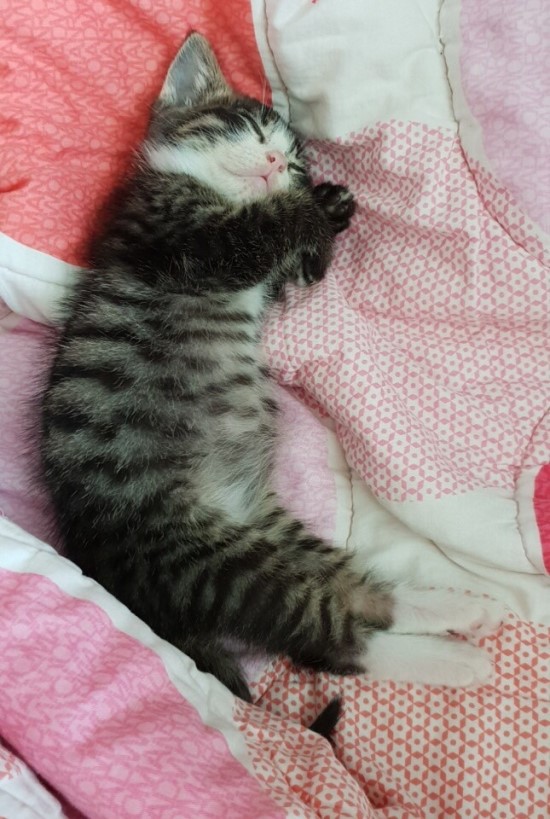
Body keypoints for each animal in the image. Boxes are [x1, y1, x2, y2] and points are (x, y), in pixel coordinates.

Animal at [40, 33, 501, 712]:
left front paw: (329, 208)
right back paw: (456, 657)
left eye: (295, 161)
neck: (214, 193)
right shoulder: (182, 239)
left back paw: (454, 610)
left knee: (348, 596)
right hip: (210, 563)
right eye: (251, 127)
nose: (277, 162)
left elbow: (302, 269)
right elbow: (258, 231)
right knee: (331, 636)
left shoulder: (271, 278)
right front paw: (309, 207)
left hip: (266, 531)